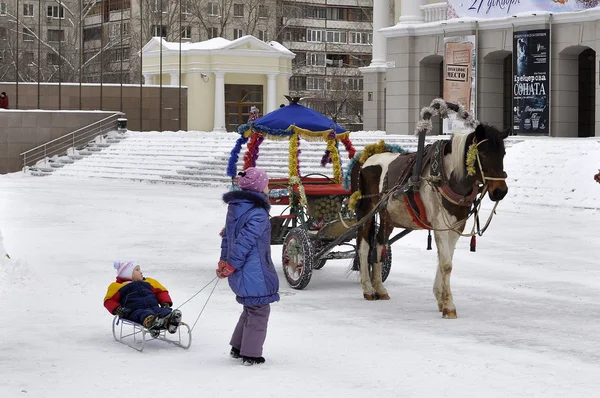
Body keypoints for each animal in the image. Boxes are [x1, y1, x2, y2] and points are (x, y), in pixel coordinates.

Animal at [352, 116, 510, 318]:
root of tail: (364, 160)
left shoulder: (456, 226)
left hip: (388, 216)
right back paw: (368, 289)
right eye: (482, 153)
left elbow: (445, 260)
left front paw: (440, 299)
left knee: (379, 244)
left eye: (503, 153)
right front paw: (449, 306)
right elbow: (446, 264)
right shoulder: (440, 225)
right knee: (364, 246)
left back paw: (379, 288)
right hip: (366, 211)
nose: (500, 191)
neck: (448, 177)